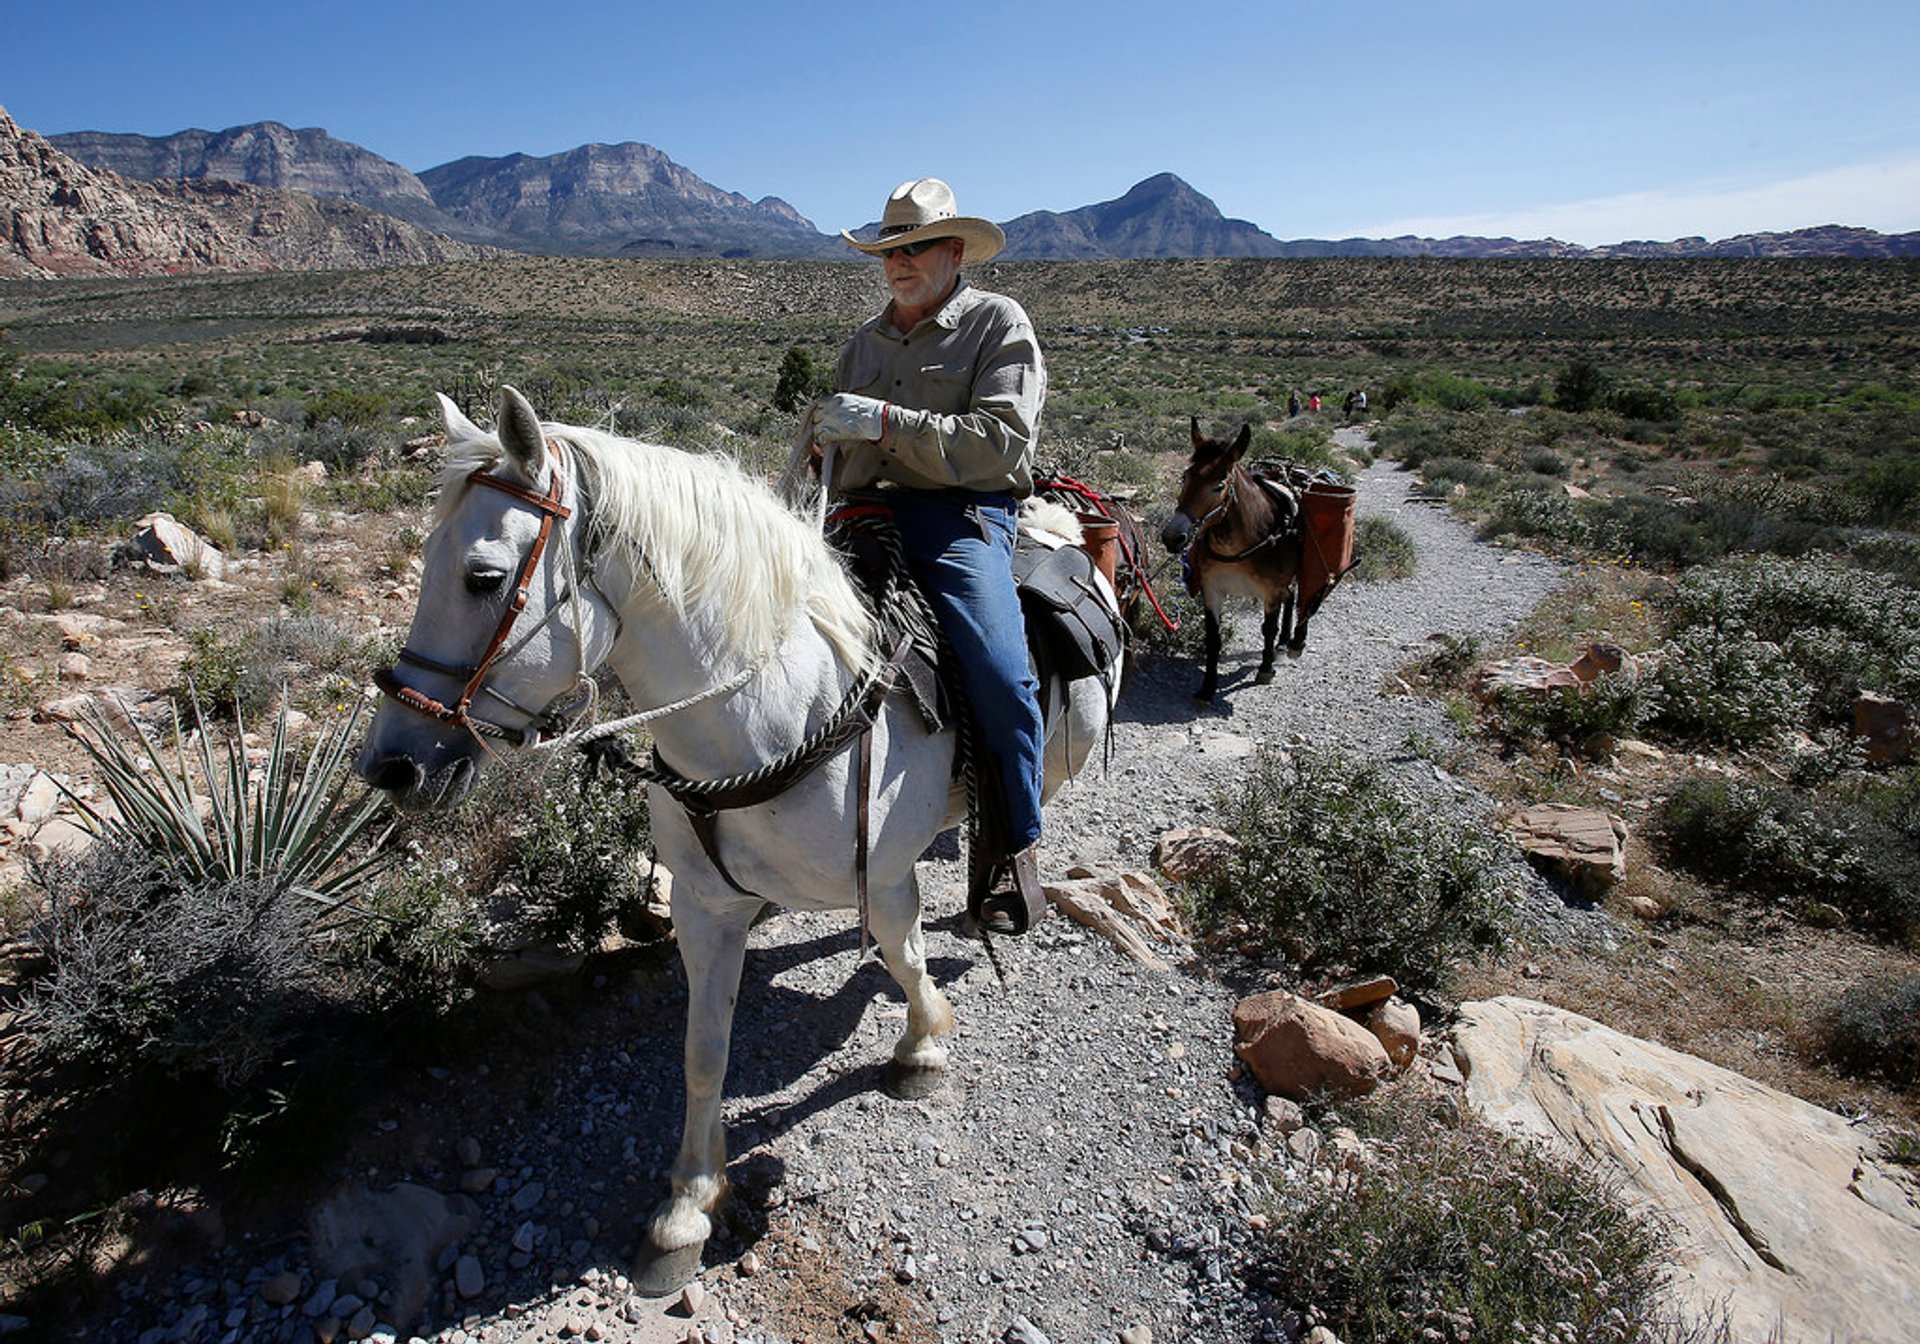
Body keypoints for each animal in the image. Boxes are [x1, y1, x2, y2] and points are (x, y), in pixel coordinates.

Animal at [355, 385, 1121, 1290]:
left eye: (483, 577)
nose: (391, 764)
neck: (772, 711)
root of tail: (1061, 525)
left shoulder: (885, 881)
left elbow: (904, 958)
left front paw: (923, 1046)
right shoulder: (704, 907)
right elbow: (703, 1051)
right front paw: (688, 1203)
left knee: (1020, 814)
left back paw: (999, 891)